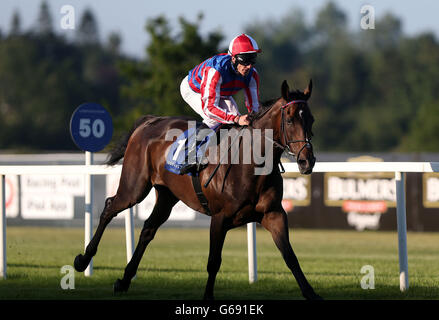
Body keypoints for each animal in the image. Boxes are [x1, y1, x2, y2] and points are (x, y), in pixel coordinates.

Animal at [71, 79, 320, 298]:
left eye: (311, 119)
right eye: (290, 120)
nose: (307, 161)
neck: (251, 165)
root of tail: (149, 121)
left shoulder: (273, 214)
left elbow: (290, 256)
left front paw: (311, 293)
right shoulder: (219, 218)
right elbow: (213, 262)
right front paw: (208, 296)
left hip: (167, 195)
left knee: (148, 229)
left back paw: (124, 280)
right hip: (134, 187)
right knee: (110, 207)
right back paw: (83, 260)